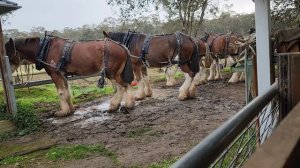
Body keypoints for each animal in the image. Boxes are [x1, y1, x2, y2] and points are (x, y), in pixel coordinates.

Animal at [4, 36, 135, 116]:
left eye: (8, 52)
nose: (6, 70)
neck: (45, 48)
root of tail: (122, 46)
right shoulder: (62, 74)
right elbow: (66, 91)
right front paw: (70, 110)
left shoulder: (55, 73)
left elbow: (61, 92)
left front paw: (62, 112)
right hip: (116, 73)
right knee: (126, 85)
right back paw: (129, 104)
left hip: (111, 73)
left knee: (122, 87)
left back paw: (113, 106)